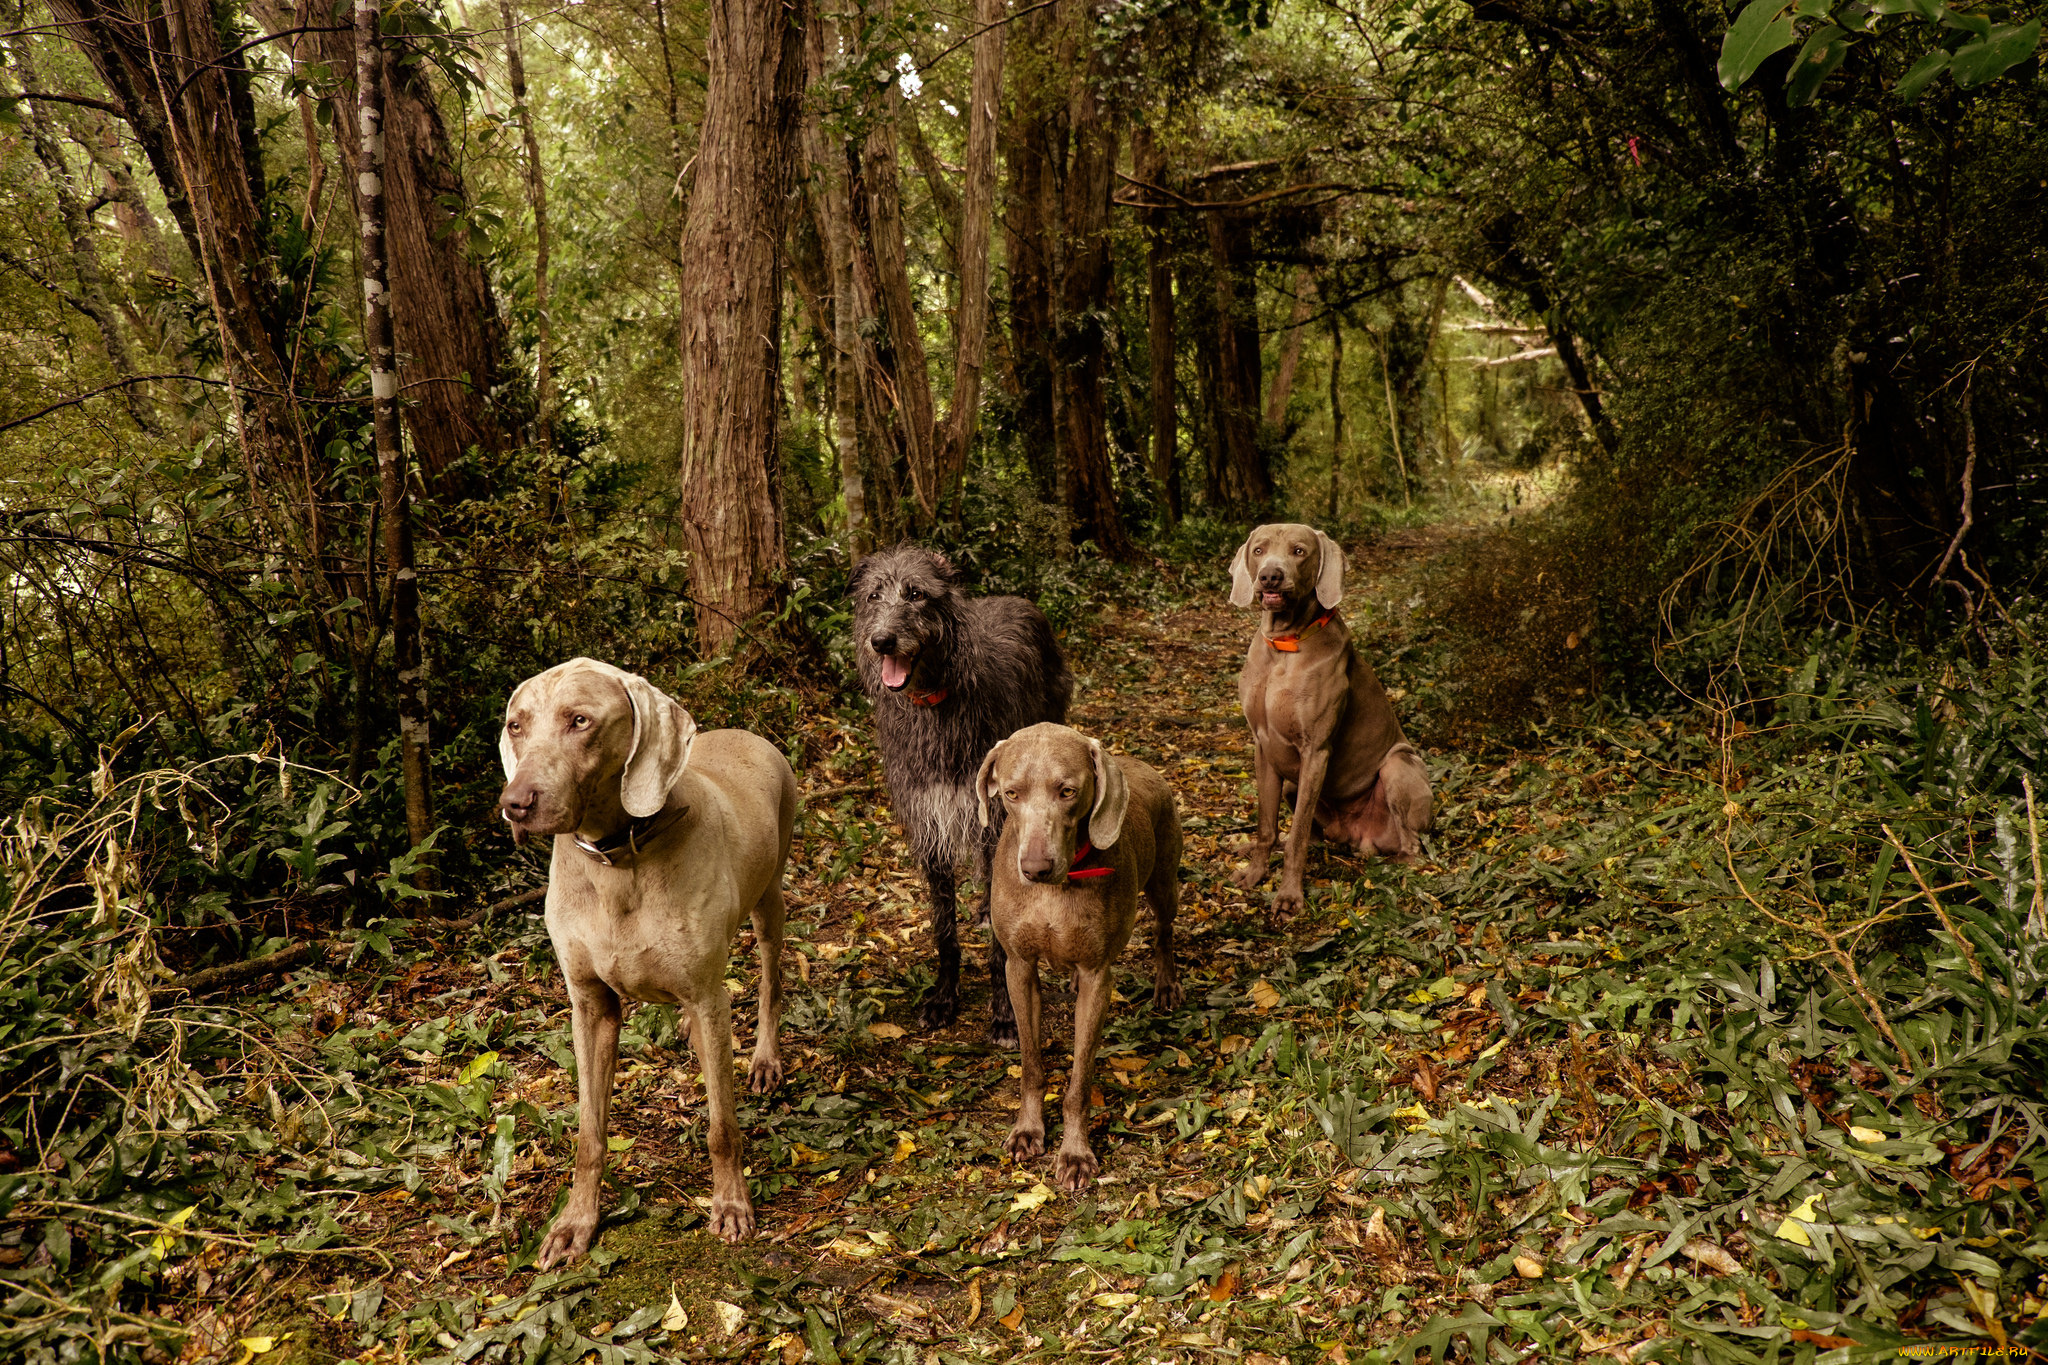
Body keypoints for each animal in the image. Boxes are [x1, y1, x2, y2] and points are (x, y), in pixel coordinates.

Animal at [495, 654, 798, 1268]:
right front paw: (575, 1224)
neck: (617, 860)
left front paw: (731, 1206)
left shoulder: (708, 995)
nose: (516, 804)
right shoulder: (591, 1005)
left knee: (771, 980)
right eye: (516, 725)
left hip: (770, 902)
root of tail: (748, 731)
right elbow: (589, 1134)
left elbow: (722, 1127)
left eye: (580, 720)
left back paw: (764, 1059)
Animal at [847, 544, 1073, 1047]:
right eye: (873, 595)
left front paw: (1005, 1014)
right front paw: (944, 997)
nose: (881, 641)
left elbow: (1000, 949)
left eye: (916, 593)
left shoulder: (991, 817)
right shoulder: (929, 822)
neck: (935, 702)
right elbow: (943, 930)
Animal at [974, 720, 1187, 1186]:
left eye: (1067, 791)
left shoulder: (1098, 978)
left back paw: (1167, 986)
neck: (1061, 886)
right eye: (1011, 793)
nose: (1035, 869)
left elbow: (1080, 1077)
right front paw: (1028, 1131)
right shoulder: (1019, 967)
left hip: (1164, 882)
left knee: (1164, 931)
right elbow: (1031, 1064)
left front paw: (1074, 1153)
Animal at [1220, 523, 1433, 916]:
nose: (1270, 576)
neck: (1284, 646)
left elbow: (1299, 836)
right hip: (1293, 782)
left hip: (1397, 766)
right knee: (1309, 835)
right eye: (1258, 550)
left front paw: (1289, 896)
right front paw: (1255, 873)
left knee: (1414, 848)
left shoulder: (1315, 751)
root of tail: (1355, 838)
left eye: (1299, 551)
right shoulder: (1263, 747)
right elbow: (1266, 826)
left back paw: (1389, 862)